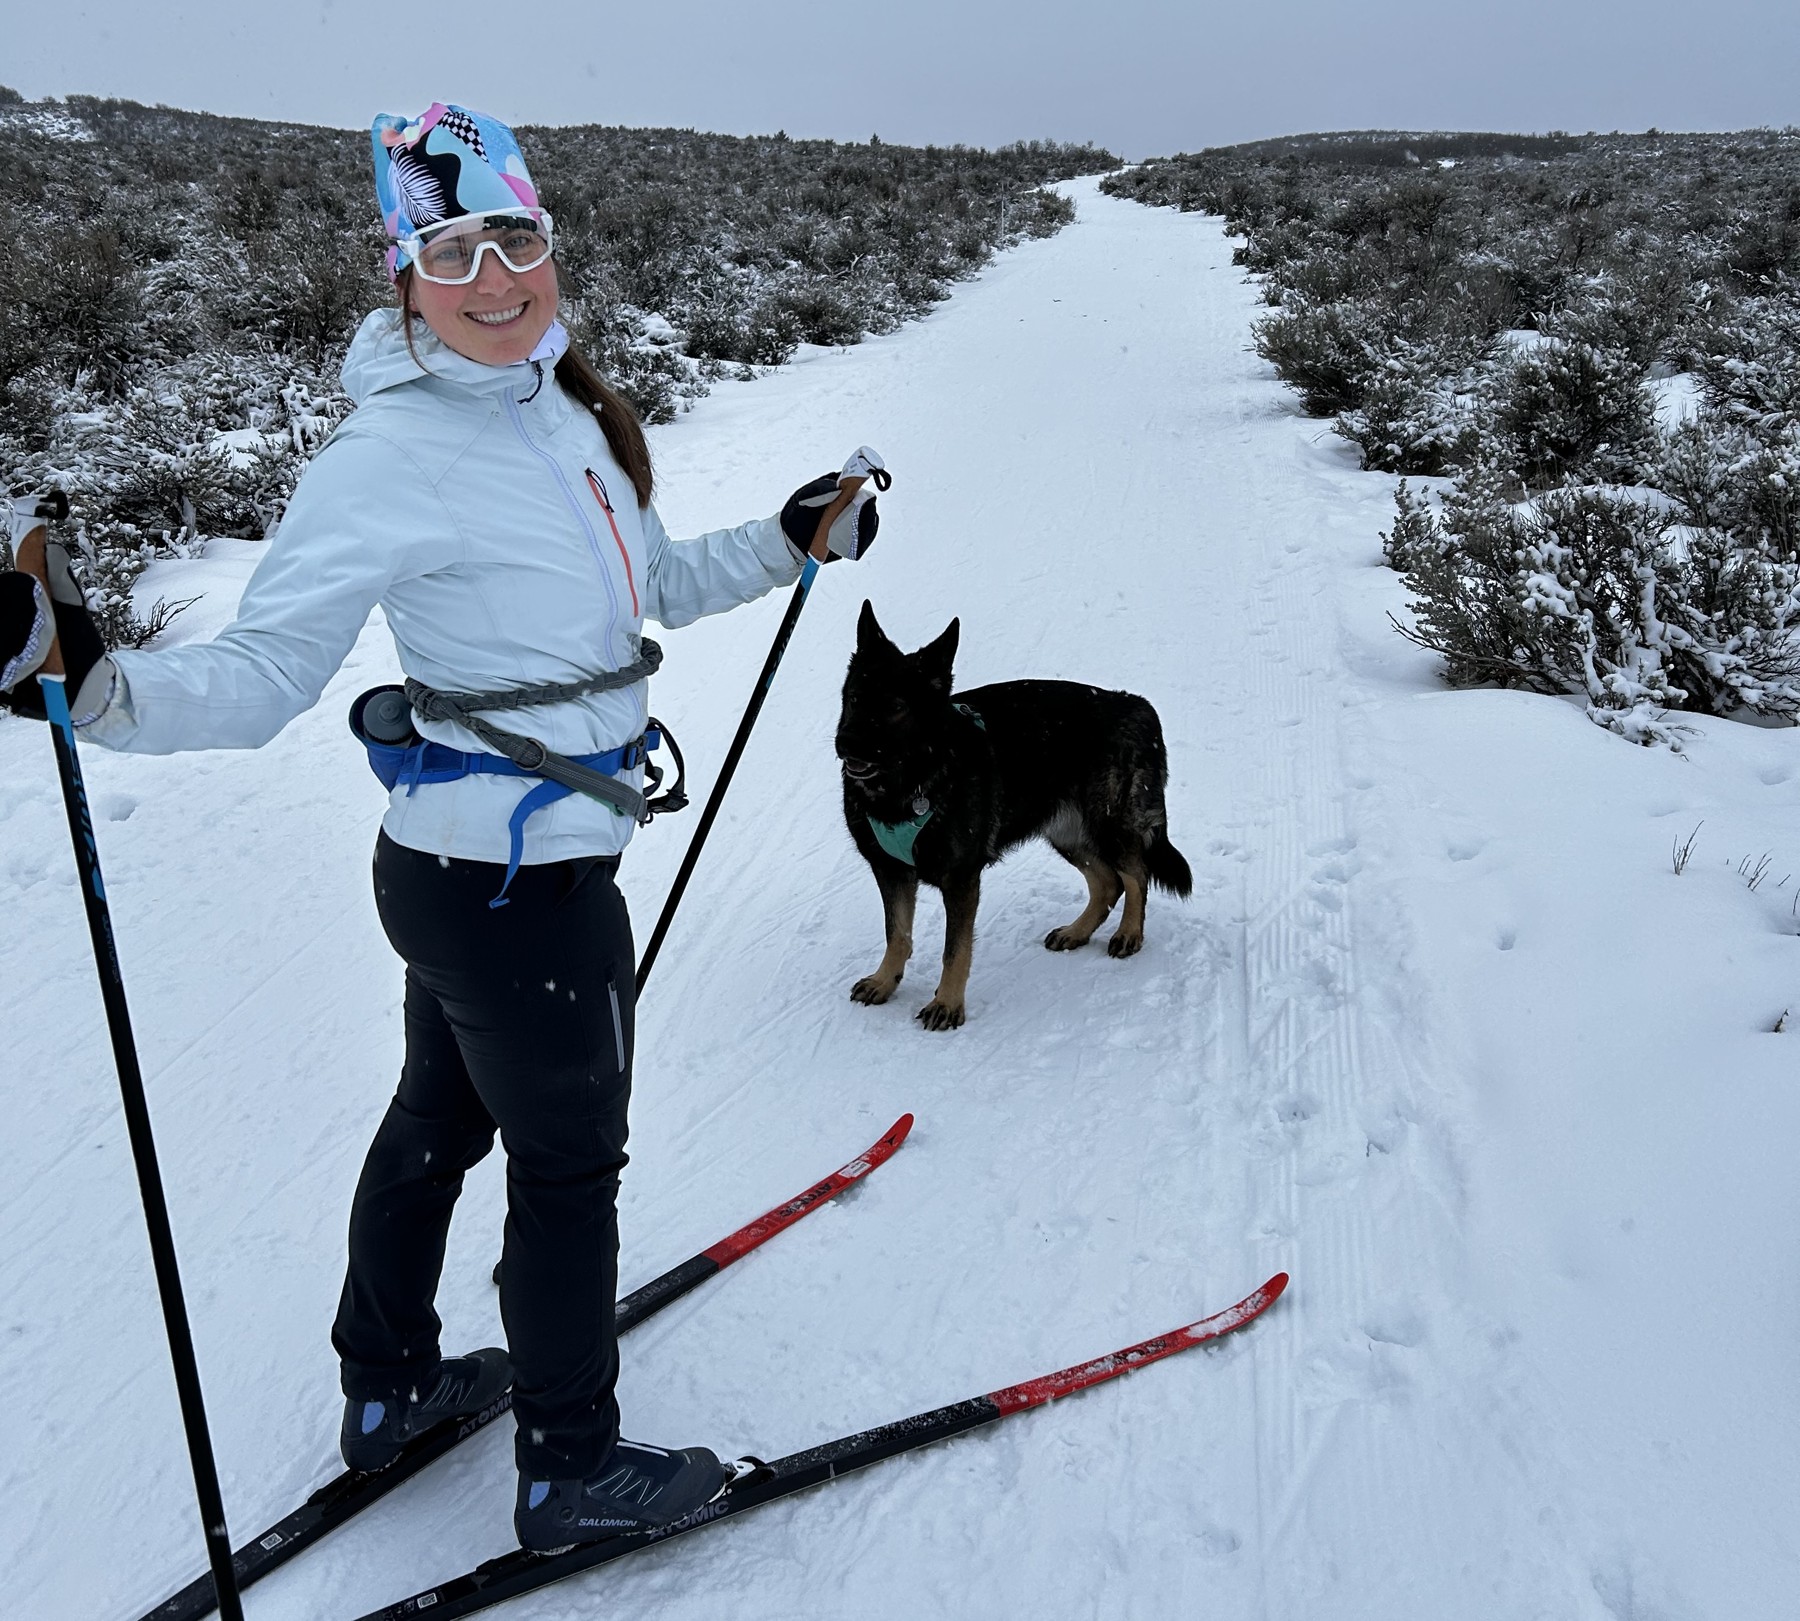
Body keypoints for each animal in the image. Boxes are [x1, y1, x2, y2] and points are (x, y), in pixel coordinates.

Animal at [831, 600, 1195, 1029]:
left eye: (897, 708)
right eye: (856, 698)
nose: (845, 744)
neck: (912, 781)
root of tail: (1137, 704)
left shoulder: (961, 881)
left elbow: (954, 951)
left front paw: (947, 1004)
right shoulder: (891, 871)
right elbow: (897, 934)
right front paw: (885, 981)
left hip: (1108, 823)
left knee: (1136, 874)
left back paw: (1129, 935)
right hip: (1068, 834)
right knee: (1108, 883)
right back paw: (1077, 932)